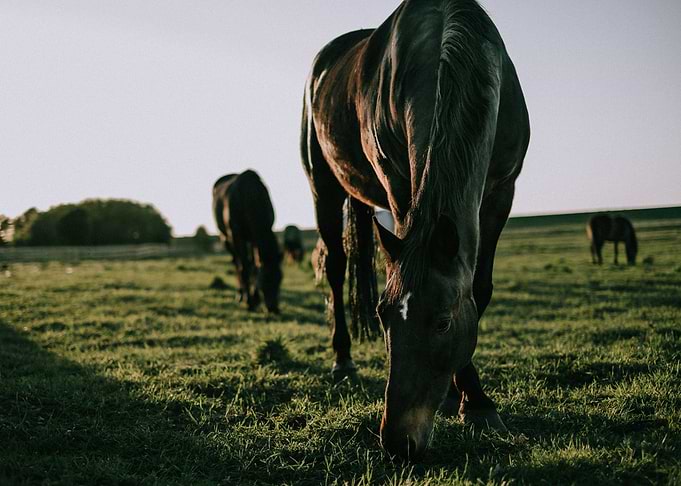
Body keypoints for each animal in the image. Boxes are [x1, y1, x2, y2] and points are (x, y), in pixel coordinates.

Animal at [213, 170, 283, 313]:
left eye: (280, 278)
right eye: (263, 280)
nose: (273, 308)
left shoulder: (254, 238)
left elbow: (255, 266)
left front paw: (255, 298)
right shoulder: (237, 236)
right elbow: (244, 267)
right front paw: (249, 301)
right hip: (226, 239)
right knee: (237, 263)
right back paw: (240, 294)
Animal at [301, 0, 530, 459]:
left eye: (442, 322)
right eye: (383, 316)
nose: (397, 442)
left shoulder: (501, 192)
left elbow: (479, 289)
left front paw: (471, 401)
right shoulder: (399, 184)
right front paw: (471, 400)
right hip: (324, 186)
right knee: (335, 268)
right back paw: (343, 361)